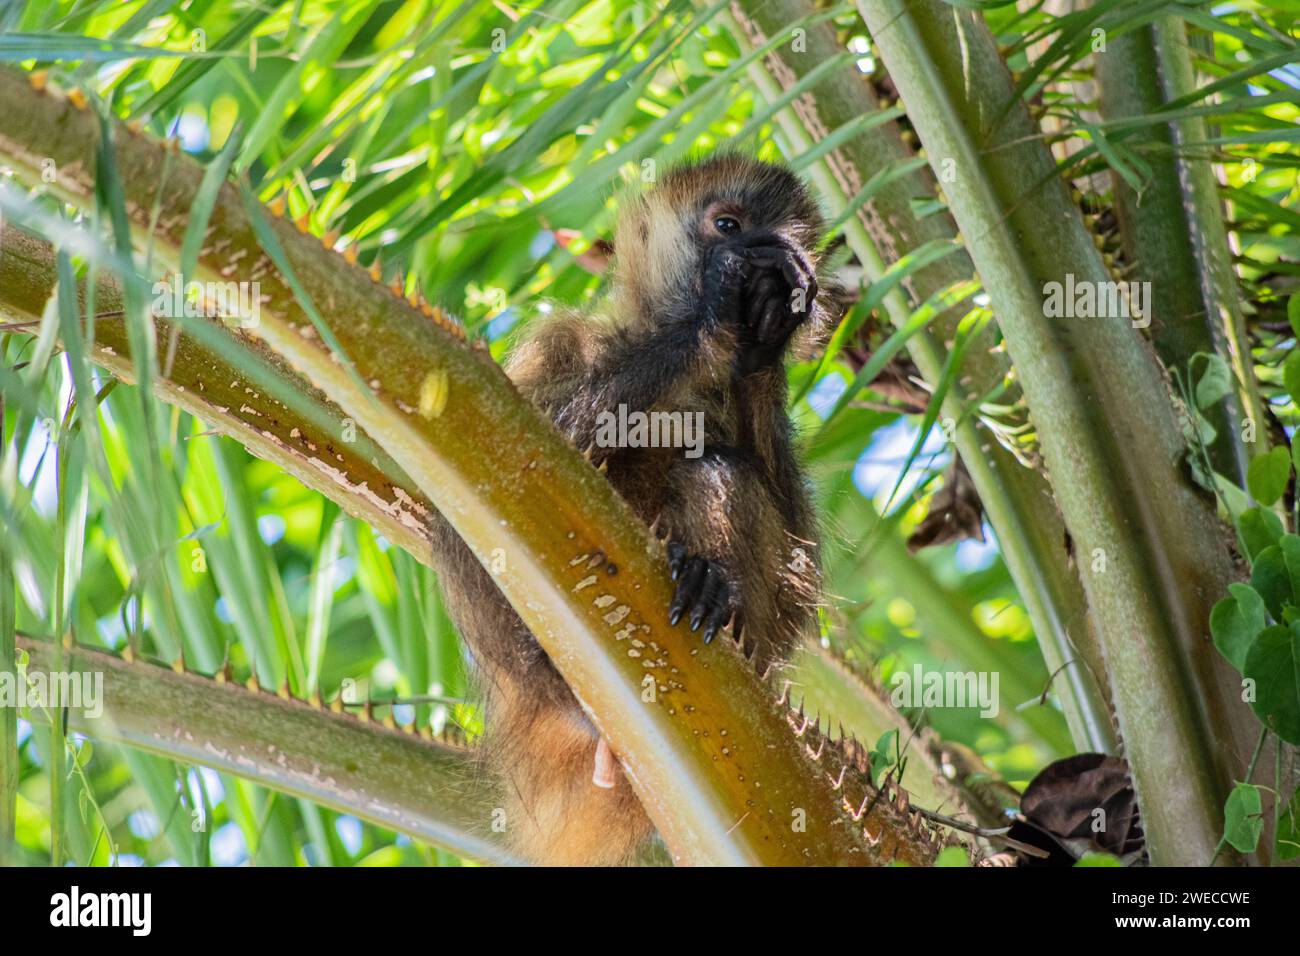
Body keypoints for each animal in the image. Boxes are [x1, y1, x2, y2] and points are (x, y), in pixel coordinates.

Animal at [431, 153, 837, 863]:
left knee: (718, 468)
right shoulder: (562, 340)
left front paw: (763, 345)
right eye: (727, 225)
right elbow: (491, 472)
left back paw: (708, 587)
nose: (761, 261)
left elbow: (797, 589)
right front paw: (712, 317)